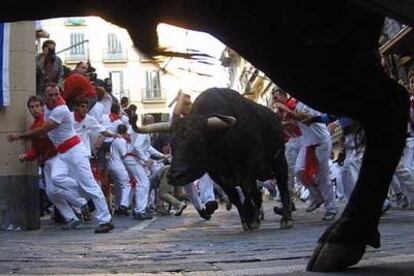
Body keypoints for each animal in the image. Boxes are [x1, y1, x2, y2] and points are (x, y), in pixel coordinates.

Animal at [1, 0, 412, 272]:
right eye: (177, 142)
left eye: (197, 142)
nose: (177, 171)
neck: (221, 146)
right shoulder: (218, 174)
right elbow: (236, 195)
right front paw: (246, 217)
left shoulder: (244, 167)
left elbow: (250, 191)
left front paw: (255, 216)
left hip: (288, 124)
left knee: (292, 176)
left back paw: (311, 222)